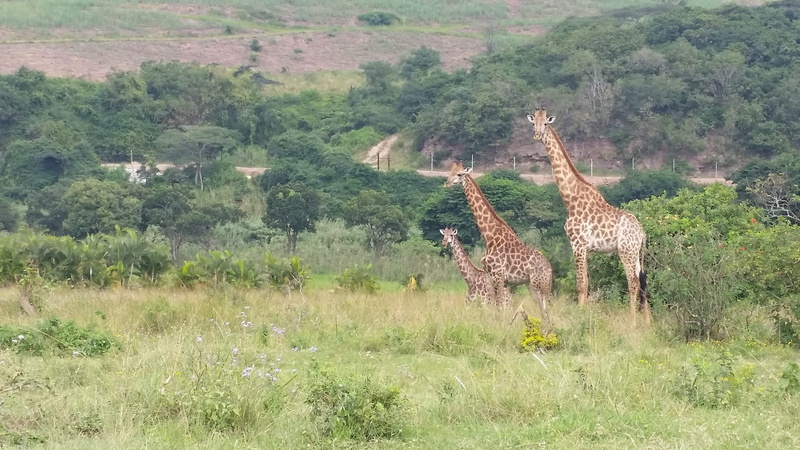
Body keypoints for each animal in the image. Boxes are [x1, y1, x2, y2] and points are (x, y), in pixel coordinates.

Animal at [444, 162, 552, 317]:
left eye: (459, 174)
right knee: (543, 312)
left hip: (540, 285)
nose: (446, 183)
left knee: (546, 310)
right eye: (450, 172)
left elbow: (500, 308)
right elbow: (495, 307)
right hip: (531, 285)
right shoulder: (491, 278)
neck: (489, 236)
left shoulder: (499, 277)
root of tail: (550, 269)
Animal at [527, 107, 650, 324]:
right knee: (643, 280)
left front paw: (580, 315)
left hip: (626, 251)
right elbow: (587, 283)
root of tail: (642, 233)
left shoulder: (577, 244)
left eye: (546, 123)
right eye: (534, 123)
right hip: (635, 253)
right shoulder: (586, 248)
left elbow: (580, 284)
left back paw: (632, 321)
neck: (570, 198)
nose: (537, 135)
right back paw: (647, 322)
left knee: (633, 282)